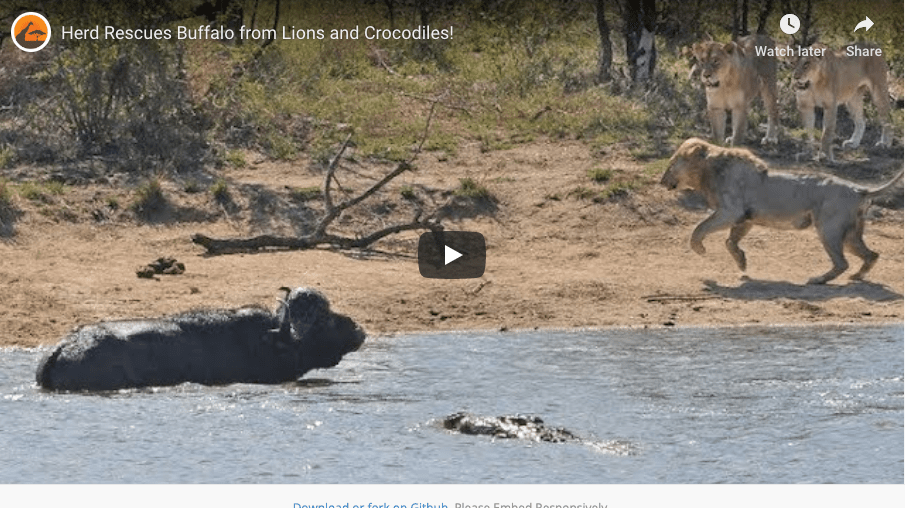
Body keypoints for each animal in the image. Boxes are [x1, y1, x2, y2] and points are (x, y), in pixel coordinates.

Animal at [660, 138, 903, 284]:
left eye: (670, 164)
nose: (661, 181)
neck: (708, 171)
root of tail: (859, 189)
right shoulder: (745, 218)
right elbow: (730, 241)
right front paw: (741, 263)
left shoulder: (730, 211)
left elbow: (700, 227)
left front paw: (699, 248)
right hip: (850, 234)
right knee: (872, 254)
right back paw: (857, 276)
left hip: (829, 229)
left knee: (842, 262)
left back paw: (818, 280)